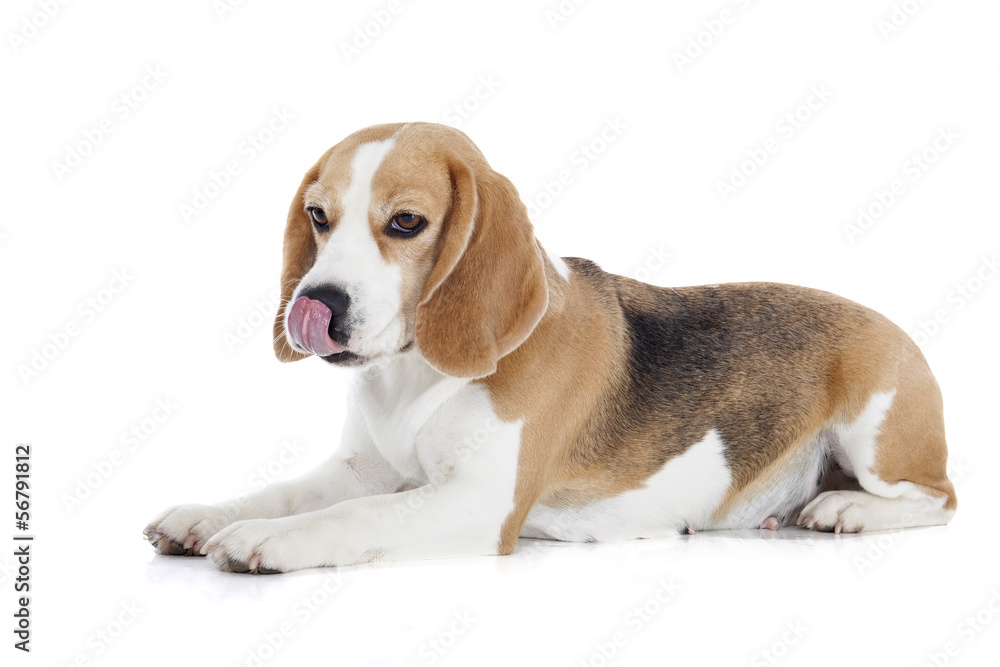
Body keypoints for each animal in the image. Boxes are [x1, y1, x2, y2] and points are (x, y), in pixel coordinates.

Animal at [145, 121, 956, 576]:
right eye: (318, 215)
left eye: (406, 222)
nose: (317, 304)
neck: (415, 373)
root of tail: (895, 325)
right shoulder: (361, 469)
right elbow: (286, 492)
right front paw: (211, 515)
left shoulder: (479, 504)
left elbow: (349, 518)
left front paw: (264, 539)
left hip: (878, 435)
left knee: (939, 500)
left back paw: (845, 510)